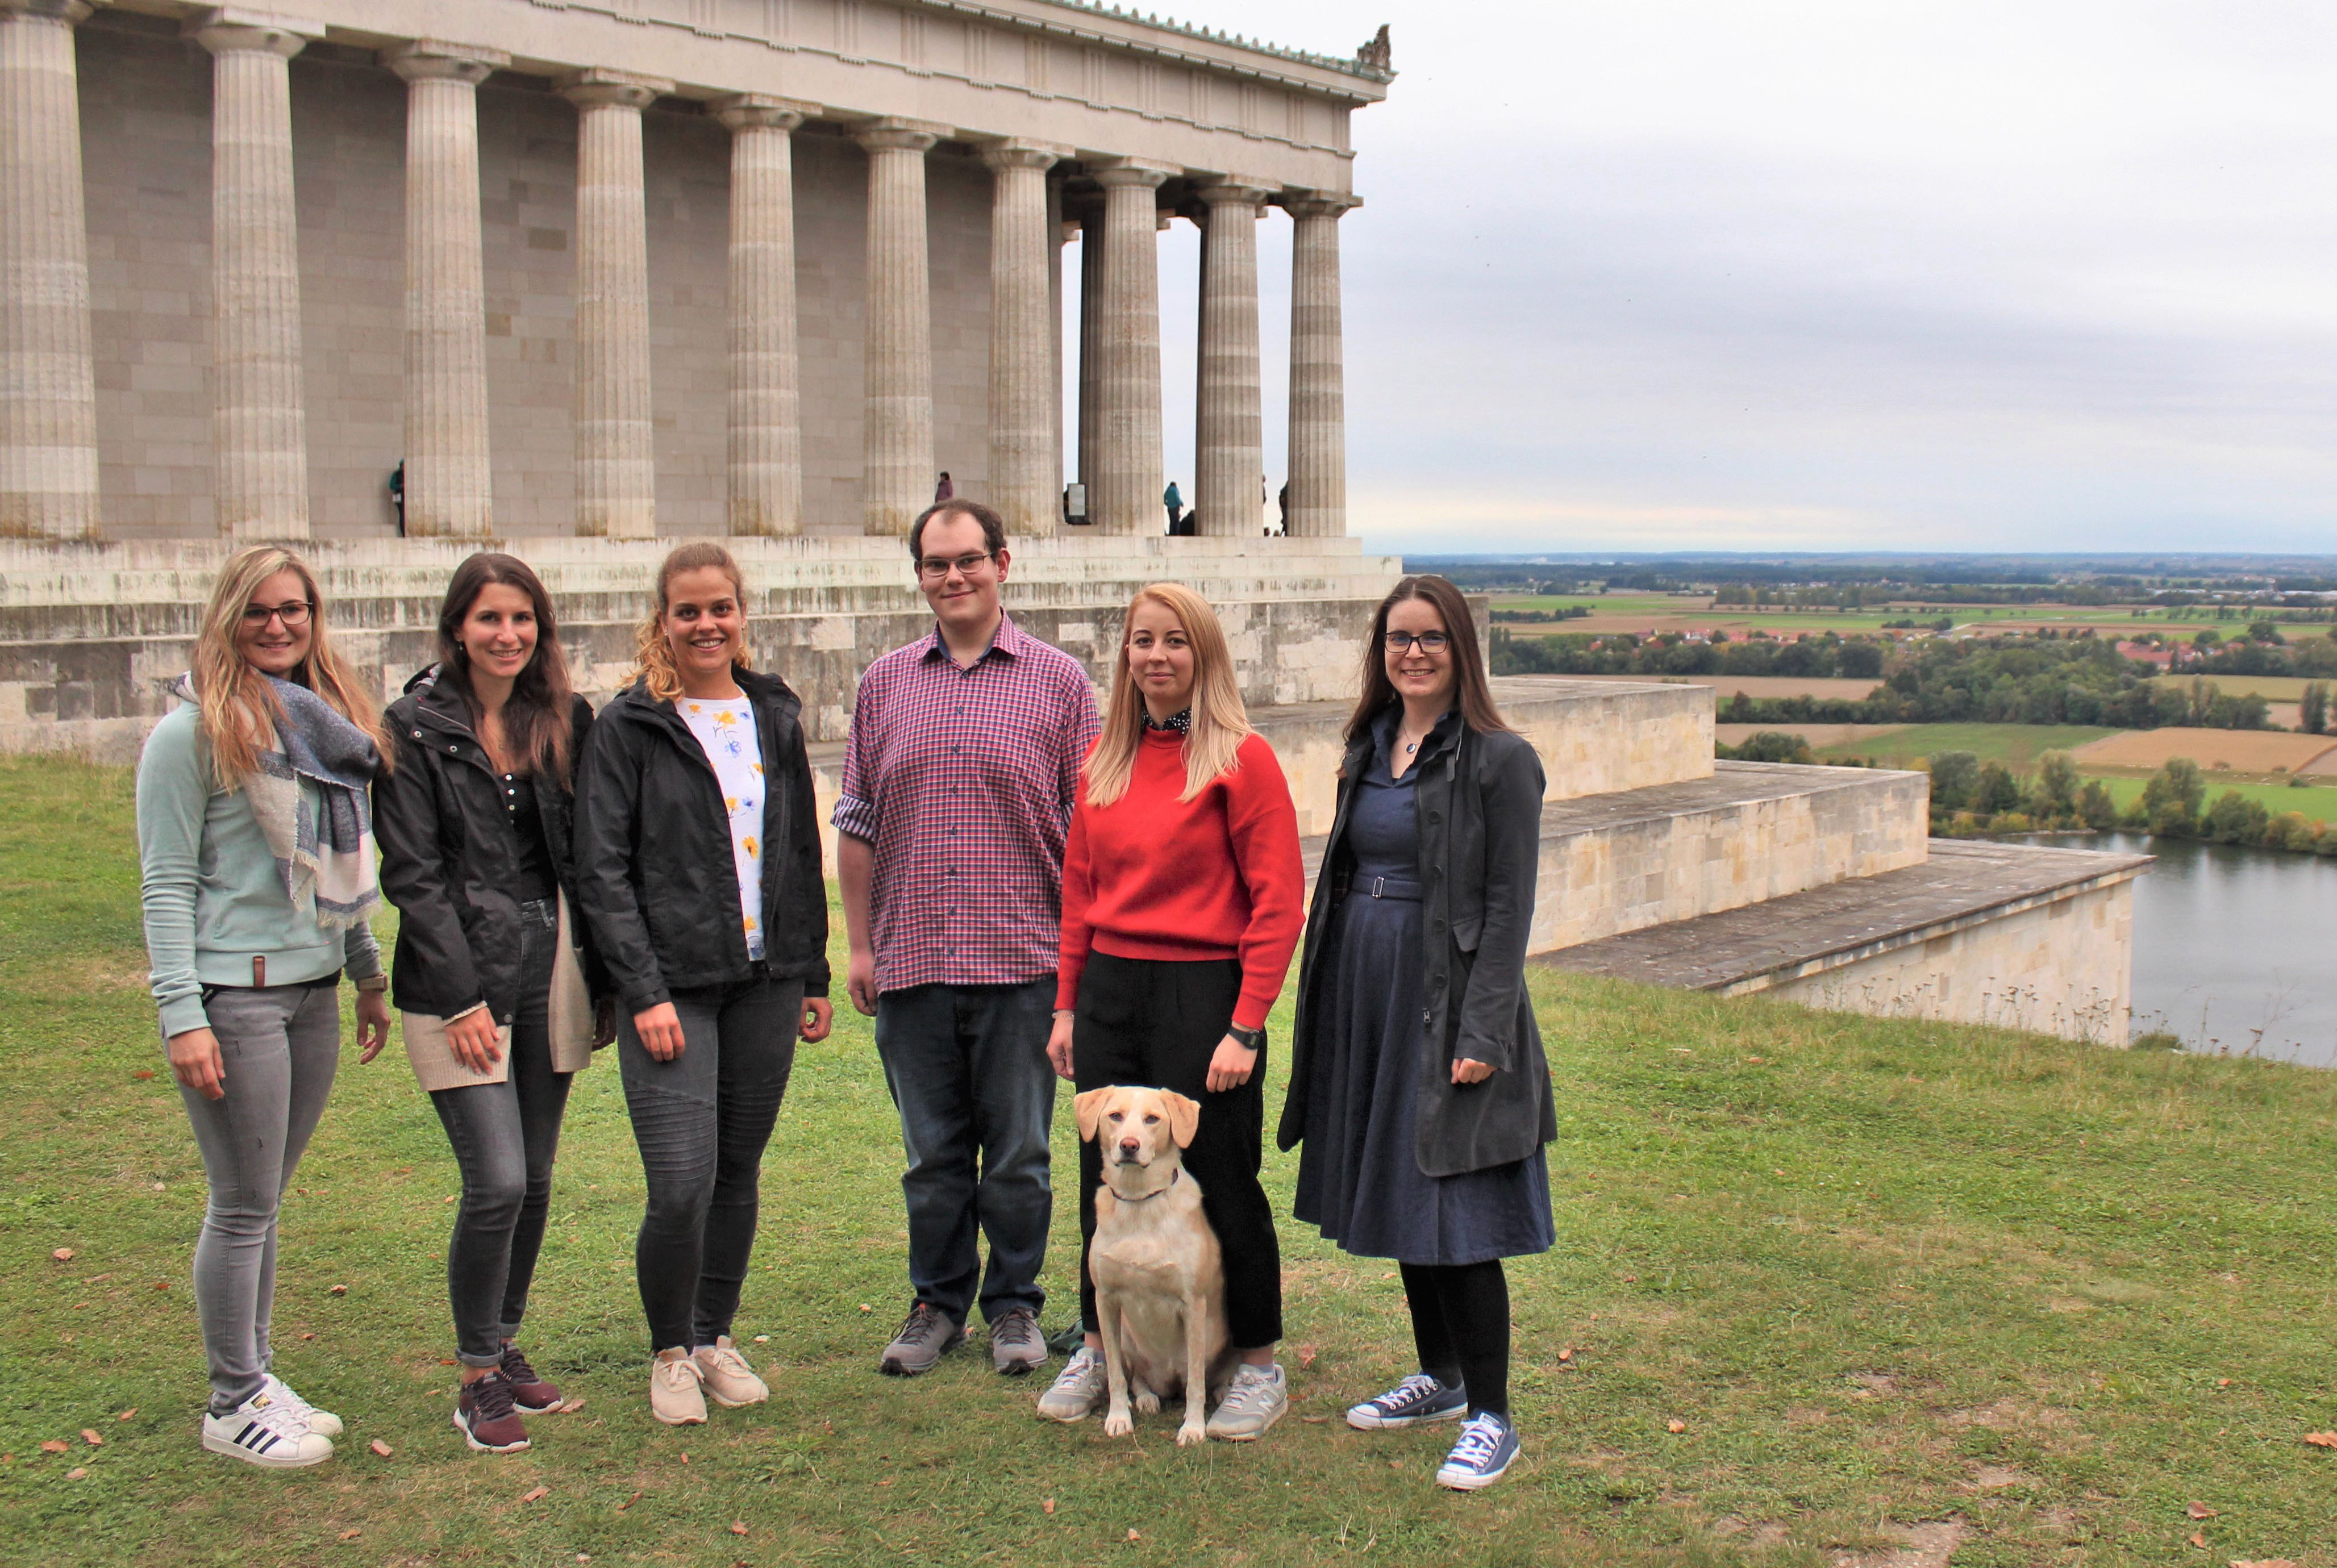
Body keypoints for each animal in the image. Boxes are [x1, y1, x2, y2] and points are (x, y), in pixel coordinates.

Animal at [1076, 1084, 1235, 1446]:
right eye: (1115, 1116)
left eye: (1152, 1119)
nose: (1129, 1146)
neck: (1140, 1202)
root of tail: (1168, 1382)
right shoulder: (1106, 1300)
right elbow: (1117, 1376)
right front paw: (1119, 1417)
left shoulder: (1194, 1305)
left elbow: (1196, 1384)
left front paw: (1193, 1428)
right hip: (1127, 1339)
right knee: (1138, 1379)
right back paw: (1147, 1398)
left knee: (1205, 1380)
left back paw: (1222, 1392)